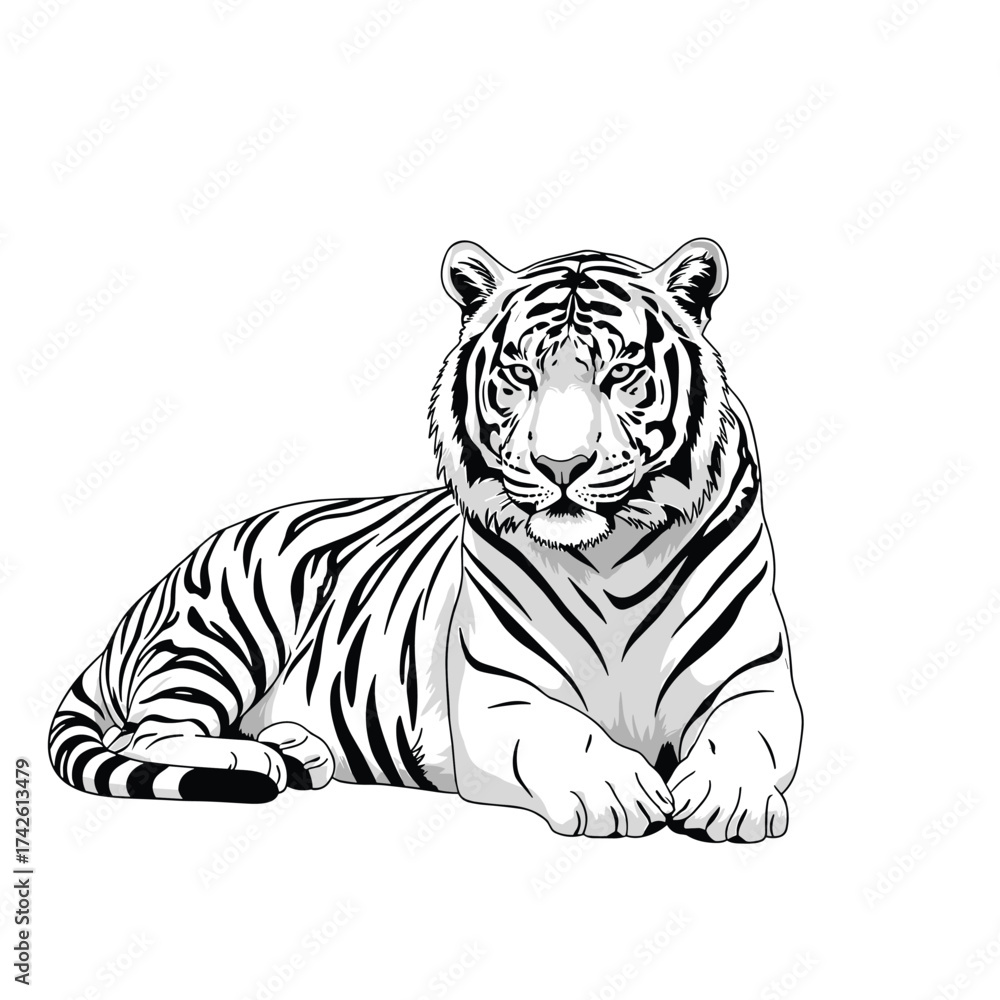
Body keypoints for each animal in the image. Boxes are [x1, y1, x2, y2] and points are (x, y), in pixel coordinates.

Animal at [49, 238, 803, 843]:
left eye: (620, 373)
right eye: (520, 374)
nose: (561, 466)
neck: (607, 558)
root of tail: (142, 603)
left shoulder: (753, 678)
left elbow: (748, 737)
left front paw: (729, 798)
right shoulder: (501, 696)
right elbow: (567, 735)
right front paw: (616, 790)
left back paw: (299, 750)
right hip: (222, 628)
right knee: (148, 731)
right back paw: (254, 759)